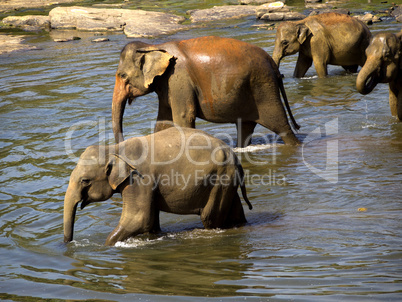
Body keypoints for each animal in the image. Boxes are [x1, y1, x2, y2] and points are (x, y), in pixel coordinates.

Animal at [62, 126, 251, 247]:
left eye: (85, 180)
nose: (68, 244)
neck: (114, 149)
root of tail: (236, 158)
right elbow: (151, 221)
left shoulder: (139, 180)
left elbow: (139, 218)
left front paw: (105, 246)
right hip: (227, 181)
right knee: (235, 212)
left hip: (219, 179)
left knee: (210, 217)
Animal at [111, 35, 300, 147]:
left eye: (122, 75)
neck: (153, 45)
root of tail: (272, 63)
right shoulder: (166, 85)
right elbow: (163, 121)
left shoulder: (178, 79)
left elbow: (183, 116)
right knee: (245, 127)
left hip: (263, 88)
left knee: (281, 125)